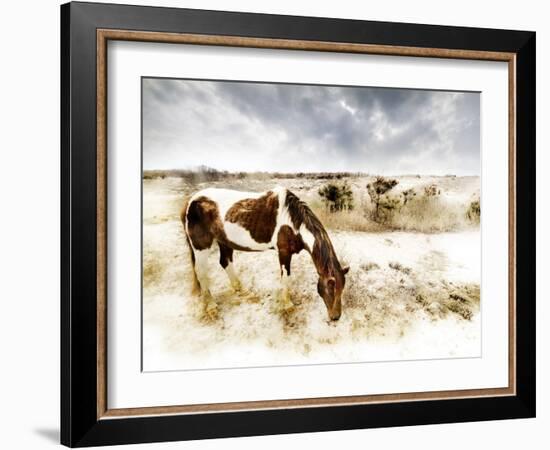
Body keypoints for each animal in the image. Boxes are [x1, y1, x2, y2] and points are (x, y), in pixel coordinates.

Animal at [183, 186, 352, 320]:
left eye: (342, 289)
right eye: (330, 288)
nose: (336, 317)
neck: (292, 222)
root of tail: (191, 201)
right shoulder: (284, 253)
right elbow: (286, 278)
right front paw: (288, 305)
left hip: (224, 242)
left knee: (225, 262)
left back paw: (241, 290)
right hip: (201, 247)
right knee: (201, 272)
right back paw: (211, 307)